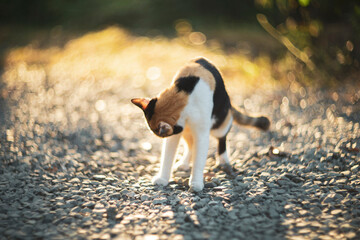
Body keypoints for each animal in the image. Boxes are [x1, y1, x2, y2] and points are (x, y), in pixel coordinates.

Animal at [132, 56, 270, 191]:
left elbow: (199, 160)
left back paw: (223, 160)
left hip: (220, 123)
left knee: (221, 141)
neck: (182, 94)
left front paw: (196, 183)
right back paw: (184, 163)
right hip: (187, 132)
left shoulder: (202, 134)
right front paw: (163, 178)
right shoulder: (176, 134)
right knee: (190, 146)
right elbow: (167, 156)